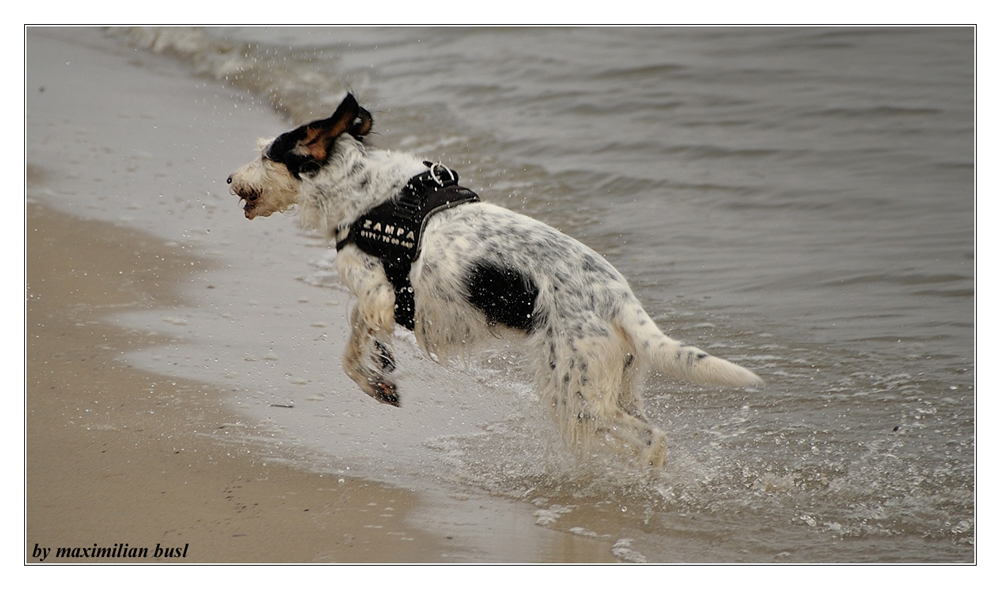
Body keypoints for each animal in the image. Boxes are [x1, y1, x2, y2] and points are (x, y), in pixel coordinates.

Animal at [229, 93, 756, 468]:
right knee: (649, 432)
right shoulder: (384, 300)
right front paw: (381, 373)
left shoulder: (376, 292)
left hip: (579, 393)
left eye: (266, 154)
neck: (364, 192)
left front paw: (375, 377)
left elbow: (353, 340)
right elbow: (360, 340)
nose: (230, 179)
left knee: (651, 437)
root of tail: (617, 296)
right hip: (616, 382)